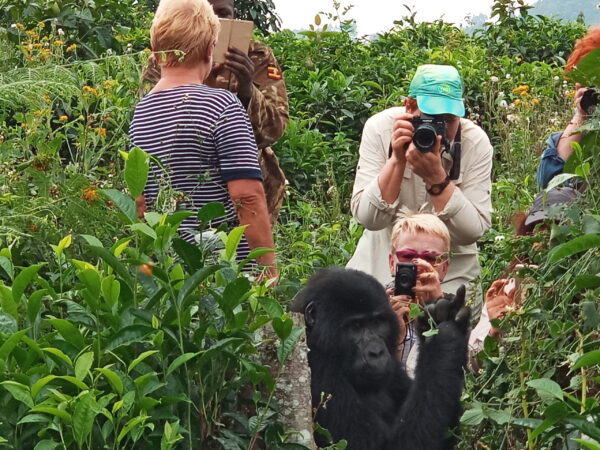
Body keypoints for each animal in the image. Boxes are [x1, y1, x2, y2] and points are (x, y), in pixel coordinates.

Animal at [292, 268, 472, 448]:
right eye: (356, 327)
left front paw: (437, 320)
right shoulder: (319, 370)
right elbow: (391, 445)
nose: (376, 352)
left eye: (377, 322)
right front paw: (444, 337)